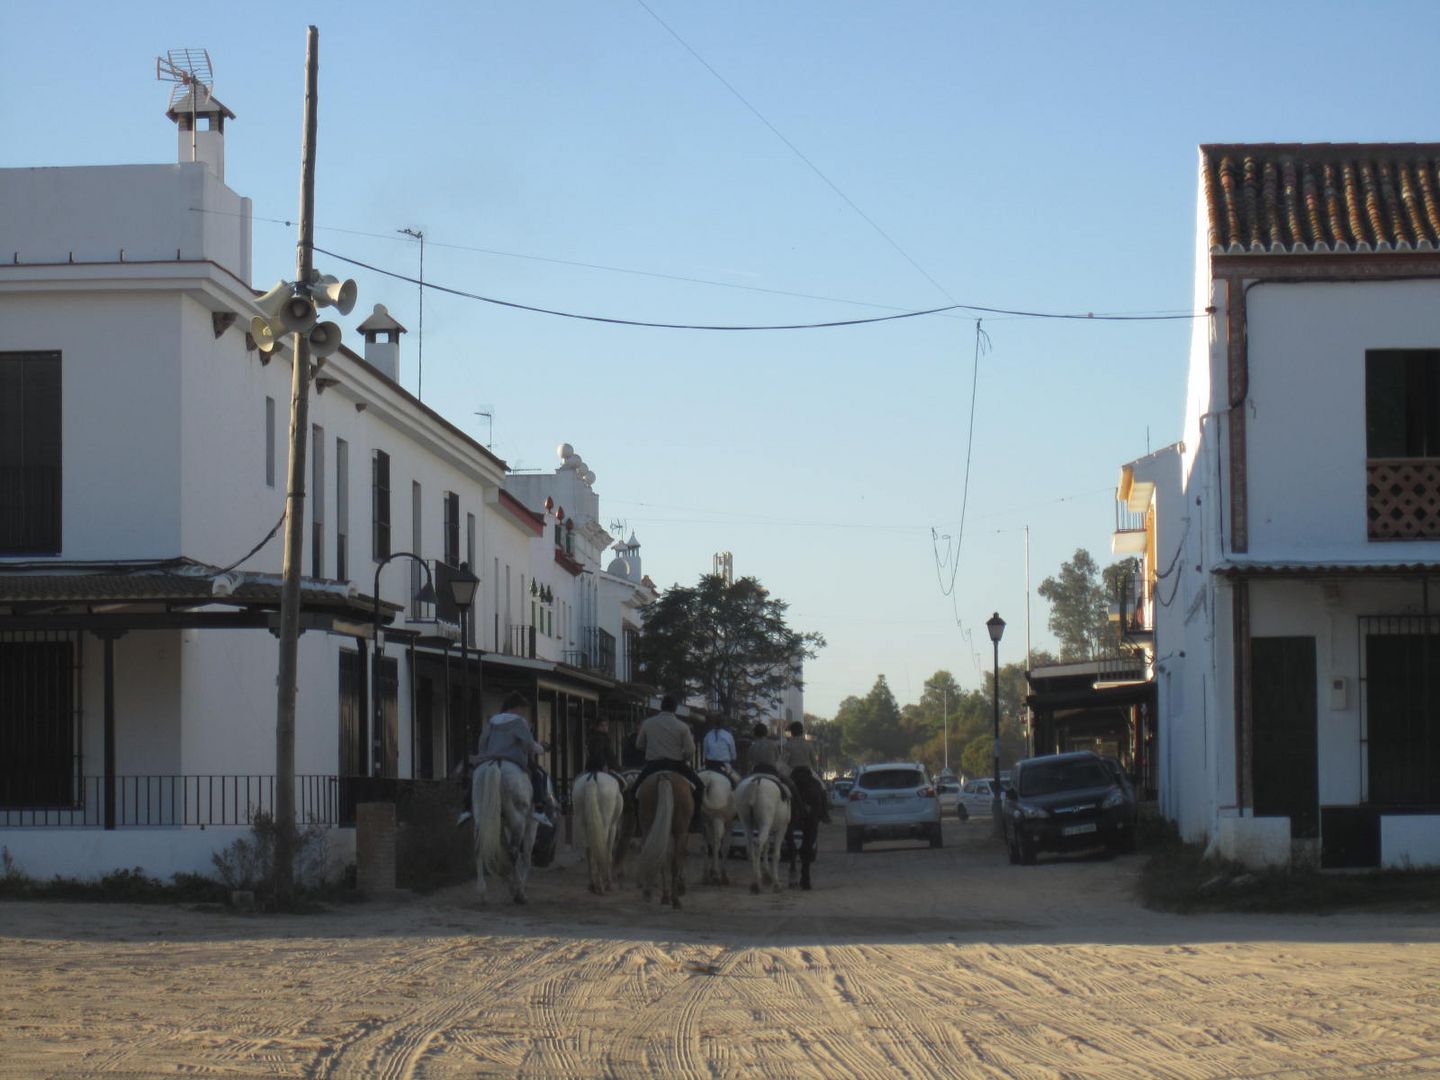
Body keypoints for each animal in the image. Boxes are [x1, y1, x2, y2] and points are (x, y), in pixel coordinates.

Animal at [472, 760, 541, 904]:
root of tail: (495, 764)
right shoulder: (532, 822)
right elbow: (526, 856)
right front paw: (518, 888)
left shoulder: (501, 826)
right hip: (518, 820)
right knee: (514, 852)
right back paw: (520, 893)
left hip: (482, 816)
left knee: (479, 848)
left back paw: (482, 892)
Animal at [633, 771, 694, 910]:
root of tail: (664, 775)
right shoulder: (684, 832)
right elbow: (681, 855)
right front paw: (681, 886)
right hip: (680, 830)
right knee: (674, 862)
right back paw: (675, 899)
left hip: (648, 826)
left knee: (657, 856)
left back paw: (656, 894)